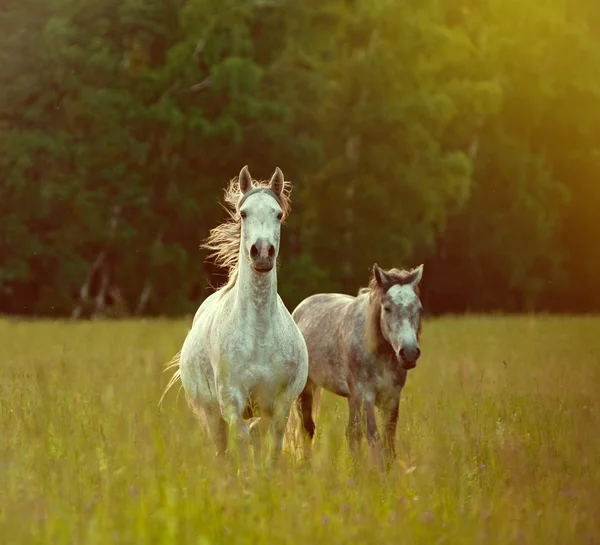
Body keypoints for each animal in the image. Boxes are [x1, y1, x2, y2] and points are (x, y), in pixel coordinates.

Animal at [161, 164, 308, 466]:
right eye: (244, 213)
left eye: (278, 214)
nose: (262, 252)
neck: (259, 335)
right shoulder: (230, 400)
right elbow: (240, 439)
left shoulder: (281, 402)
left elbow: (270, 441)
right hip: (211, 413)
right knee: (222, 449)